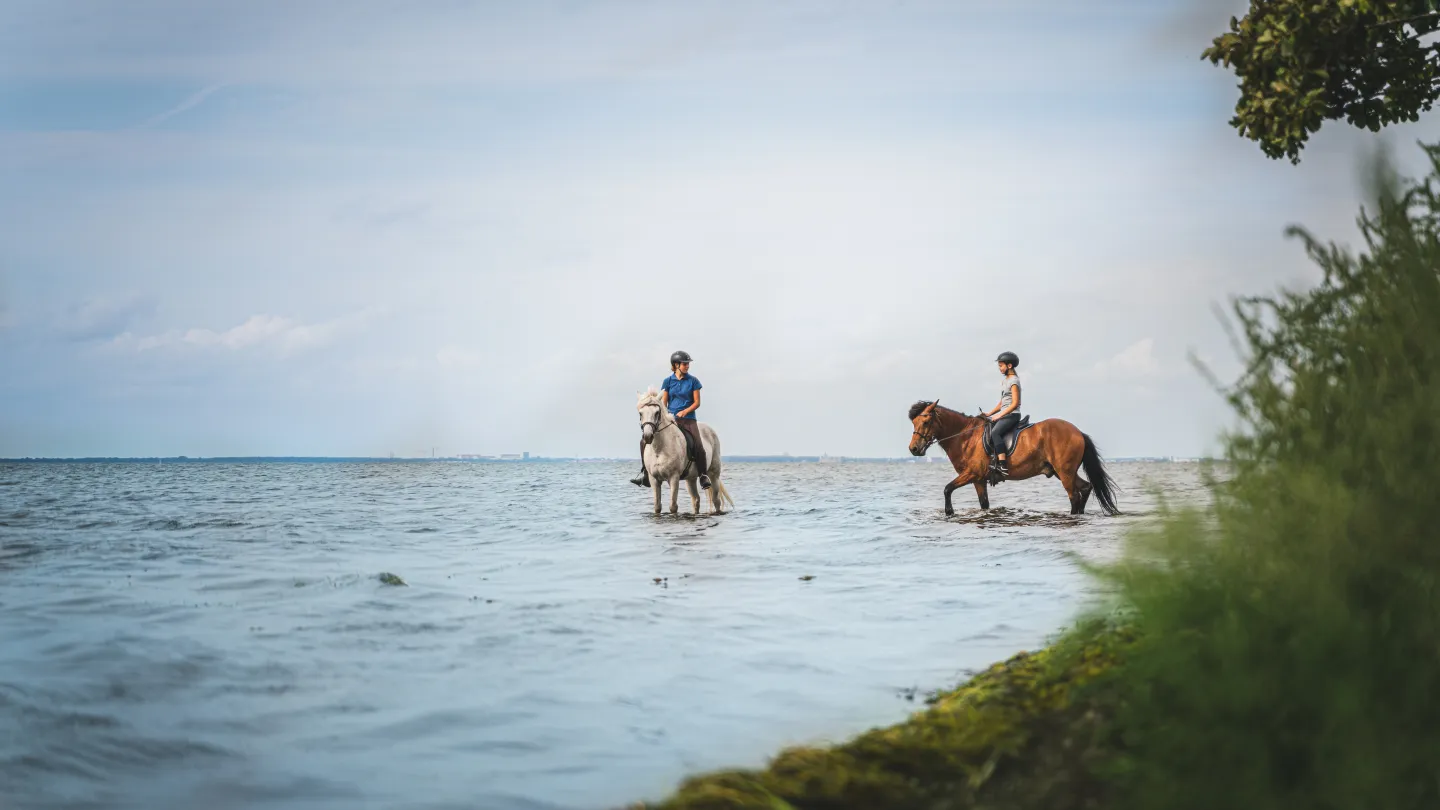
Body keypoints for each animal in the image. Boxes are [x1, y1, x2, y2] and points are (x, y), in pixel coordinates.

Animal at [904, 400, 1117, 513]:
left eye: (926, 422)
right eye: (914, 422)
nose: (913, 449)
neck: (965, 436)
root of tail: (1078, 432)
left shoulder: (972, 473)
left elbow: (947, 489)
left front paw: (949, 512)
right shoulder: (978, 480)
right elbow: (984, 504)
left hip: (1064, 473)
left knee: (1074, 496)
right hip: (1064, 471)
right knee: (1086, 488)